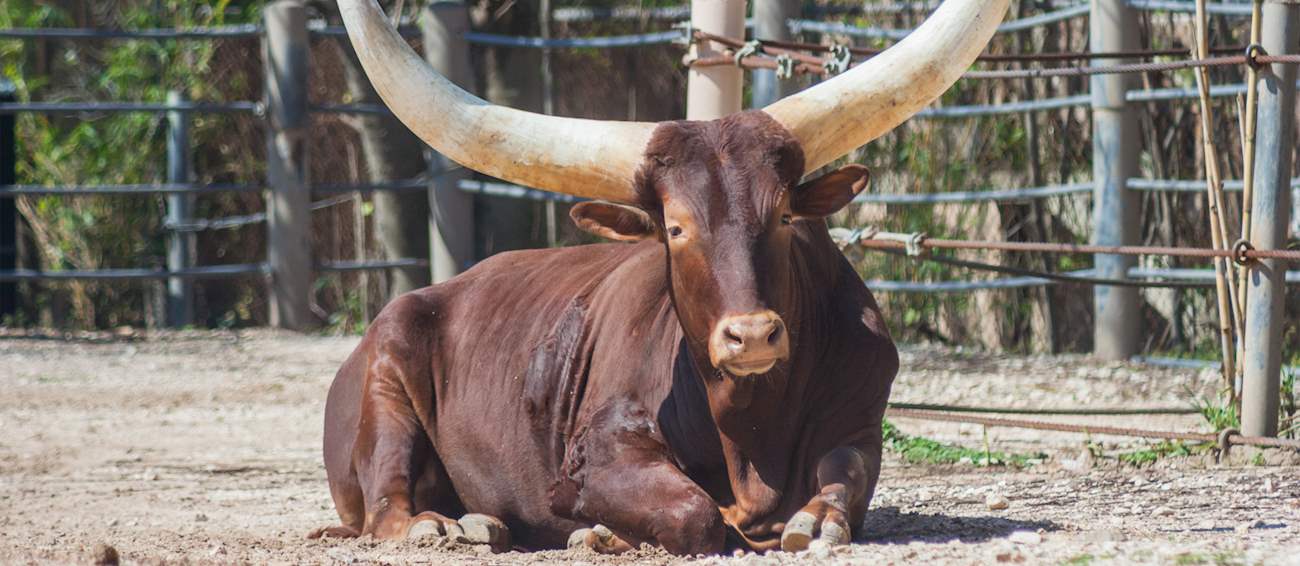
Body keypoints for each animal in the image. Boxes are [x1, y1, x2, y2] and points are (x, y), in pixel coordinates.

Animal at [312, 0, 1008, 555]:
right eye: (674, 227)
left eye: (785, 214)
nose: (752, 336)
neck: (750, 424)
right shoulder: (600, 453)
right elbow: (693, 512)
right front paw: (605, 533)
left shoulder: (860, 422)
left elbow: (845, 480)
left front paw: (815, 520)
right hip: (387, 377)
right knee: (385, 507)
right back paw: (447, 526)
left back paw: (481, 522)